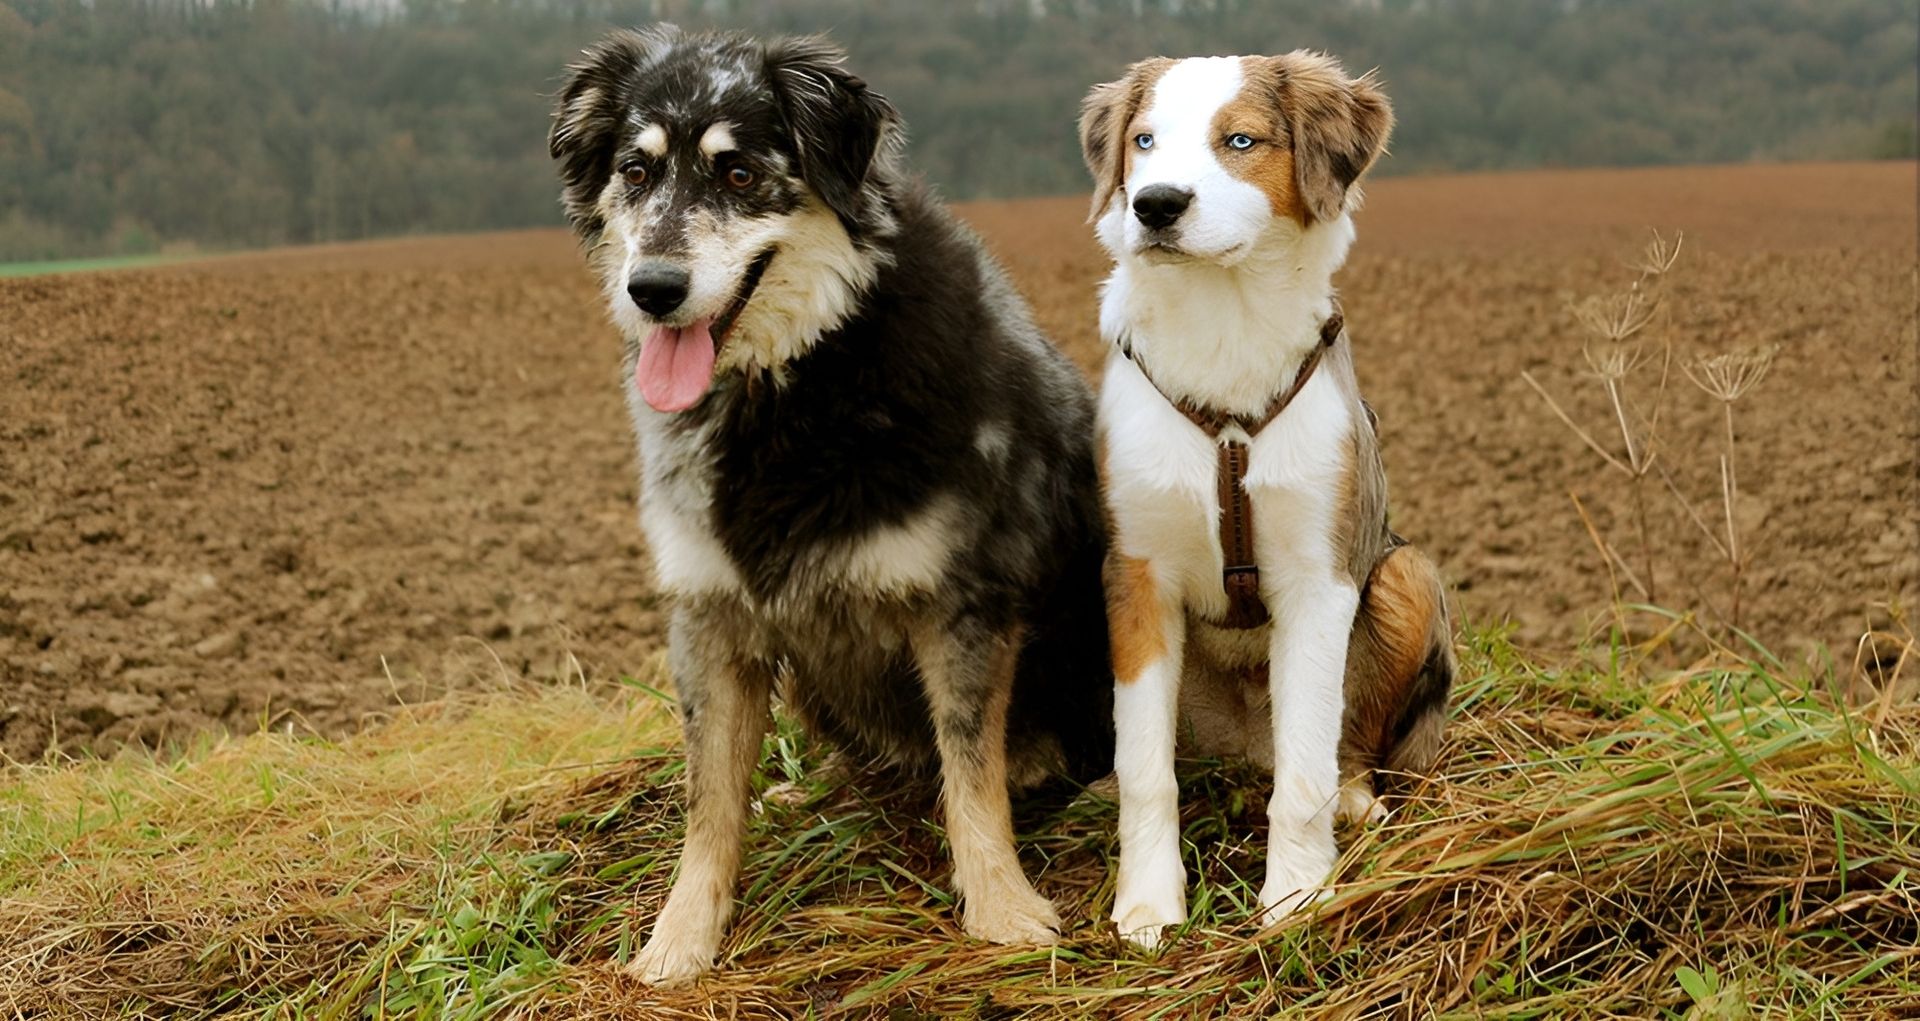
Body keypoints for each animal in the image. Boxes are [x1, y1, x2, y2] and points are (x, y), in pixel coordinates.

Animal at [549, 25, 1113, 982]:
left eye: (740, 174)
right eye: (635, 169)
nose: (652, 288)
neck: (795, 384)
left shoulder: (962, 603)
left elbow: (971, 769)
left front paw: (1002, 907)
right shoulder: (708, 615)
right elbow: (708, 798)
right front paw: (680, 938)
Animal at [1082, 53, 1451, 948]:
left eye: (1240, 141)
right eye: (1144, 141)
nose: (1155, 205)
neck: (1223, 322)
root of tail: (1244, 745)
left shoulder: (1319, 580)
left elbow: (1306, 769)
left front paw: (1296, 898)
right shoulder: (1135, 573)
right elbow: (1145, 767)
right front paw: (1148, 903)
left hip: (1407, 575)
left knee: (1340, 746)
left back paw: (1353, 795)